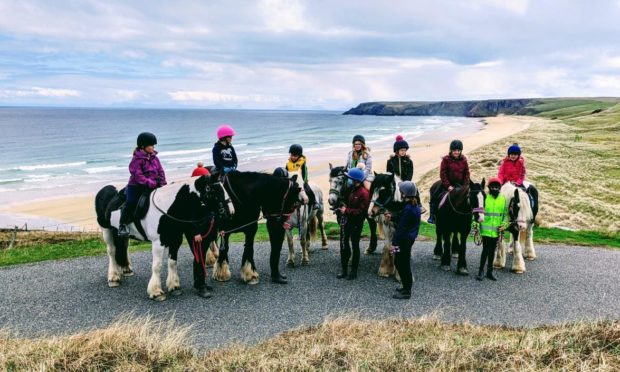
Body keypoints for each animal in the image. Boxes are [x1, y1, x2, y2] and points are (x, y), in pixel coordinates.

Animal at [95, 176, 234, 300]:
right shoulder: (158, 243)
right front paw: (156, 292)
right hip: (106, 229)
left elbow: (172, 262)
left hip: (120, 234)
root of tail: (104, 189)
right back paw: (113, 277)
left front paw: (174, 286)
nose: (231, 212)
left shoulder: (175, 240)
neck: (167, 208)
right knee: (112, 251)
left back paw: (126, 269)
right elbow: (157, 266)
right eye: (214, 191)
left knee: (123, 247)